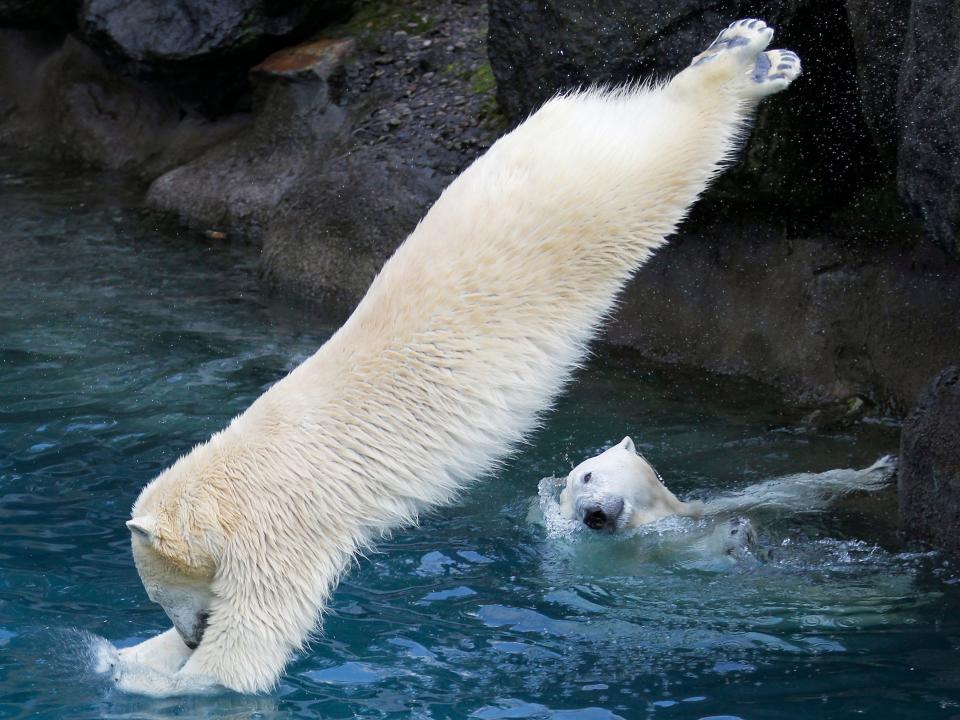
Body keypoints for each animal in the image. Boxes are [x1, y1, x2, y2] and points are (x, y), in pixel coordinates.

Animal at [112, 19, 804, 696]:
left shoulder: (281, 528)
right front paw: (131, 655)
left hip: (591, 202)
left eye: (158, 591)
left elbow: (250, 644)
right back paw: (744, 47)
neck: (240, 470)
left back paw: (747, 59)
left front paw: (150, 674)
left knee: (669, 155)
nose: (190, 631)